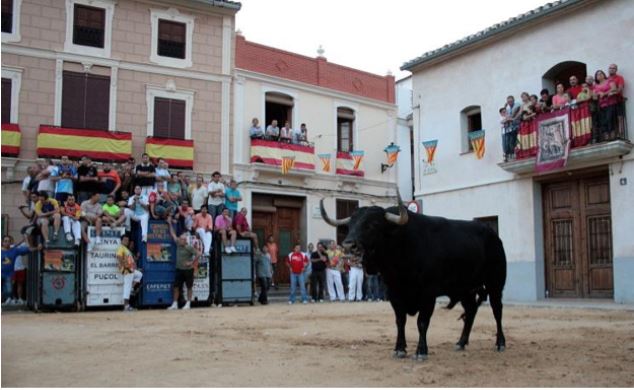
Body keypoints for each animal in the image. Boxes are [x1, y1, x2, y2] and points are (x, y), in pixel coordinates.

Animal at [318, 193, 506, 362]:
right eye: (350, 225)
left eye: (373, 224)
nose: (349, 245)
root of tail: (493, 236)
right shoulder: (394, 294)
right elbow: (400, 321)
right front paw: (399, 349)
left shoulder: (428, 294)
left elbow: (422, 322)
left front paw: (421, 351)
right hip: (465, 289)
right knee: (471, 310)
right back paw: (461, 342)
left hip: (495, 283)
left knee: (497, 310)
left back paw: (500, 343)